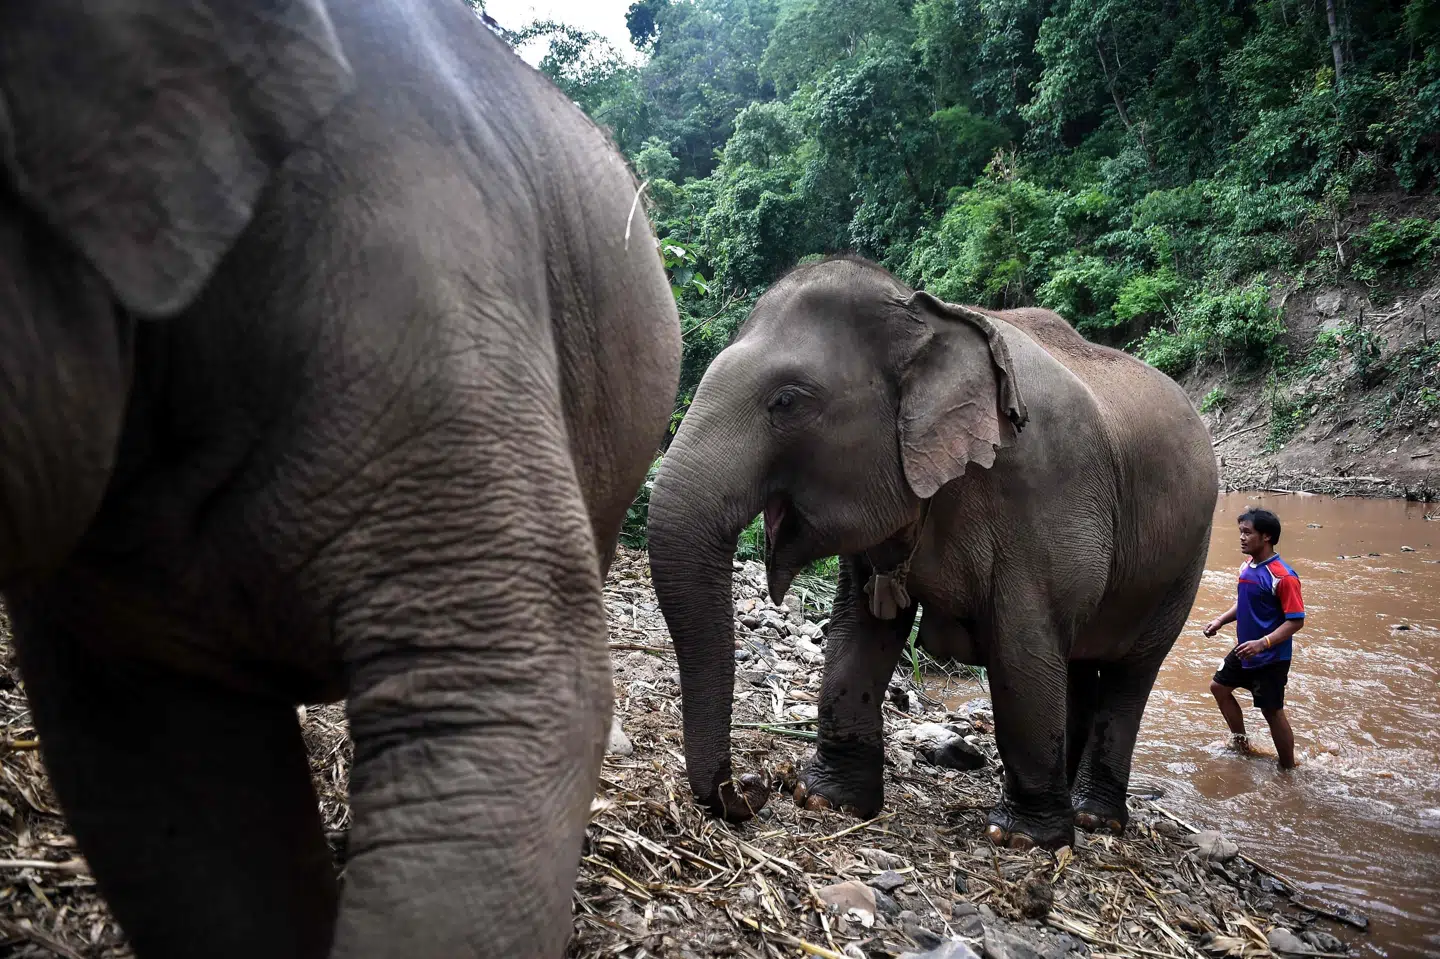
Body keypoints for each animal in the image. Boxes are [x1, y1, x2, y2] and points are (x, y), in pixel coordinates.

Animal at [648, 255, 1216, 850]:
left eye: (787, 401)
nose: (751, 790)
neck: (928, 316)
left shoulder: (1047, 494)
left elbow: (1022, 649)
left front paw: (1022, 838)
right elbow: (858, 630)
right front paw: (827, 799)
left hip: (1185, 563)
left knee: (1132, 674)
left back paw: (1092, 818)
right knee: (1082, 666)